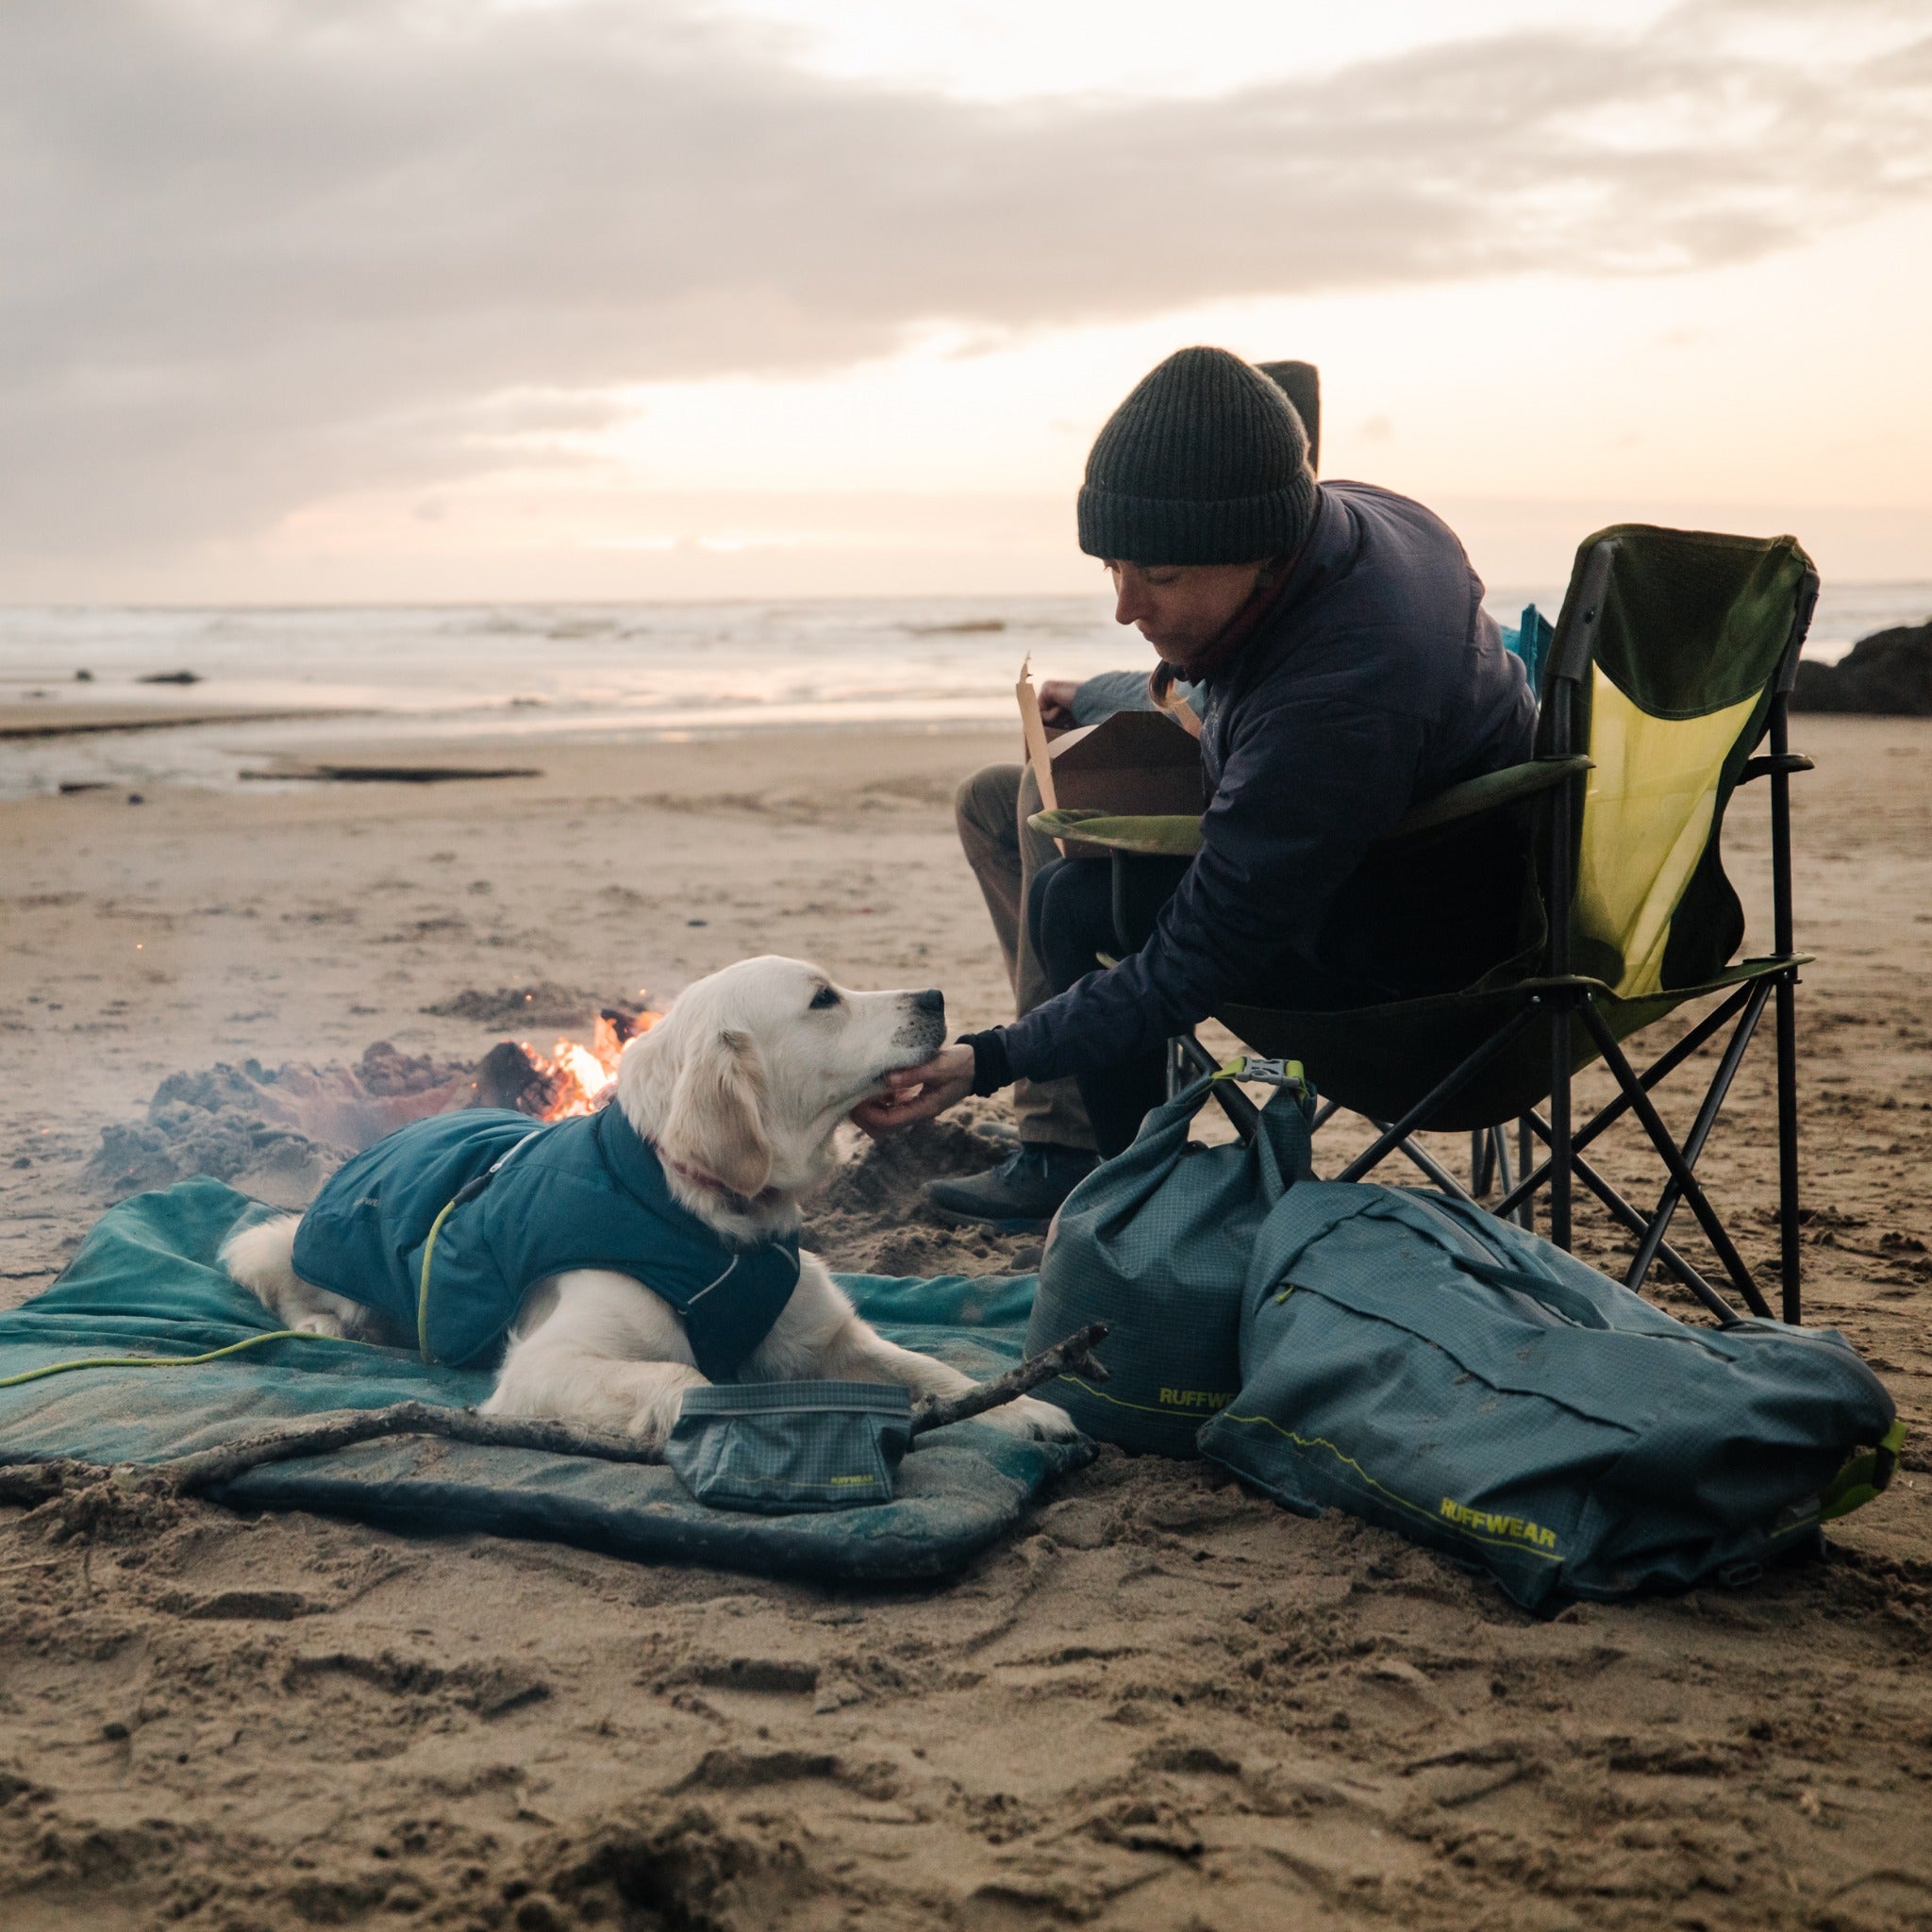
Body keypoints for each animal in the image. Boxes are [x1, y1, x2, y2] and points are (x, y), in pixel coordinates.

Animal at [224, 958, 1081, 1444]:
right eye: (823, 999)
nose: (936, 996)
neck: (704, 1219)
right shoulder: (546, 1363)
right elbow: (685, 1379)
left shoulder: (826, 1337)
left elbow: (933, 1369)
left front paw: (1024, 1410)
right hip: (318, 1246)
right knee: (268, 1266)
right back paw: (325, 1324)